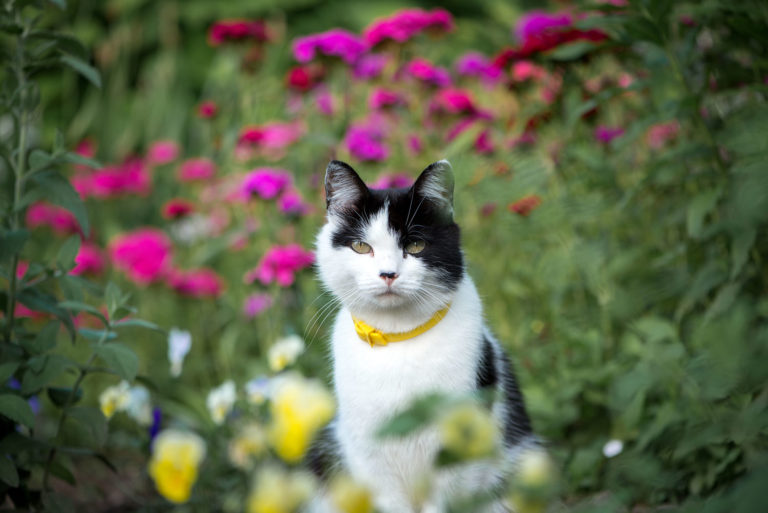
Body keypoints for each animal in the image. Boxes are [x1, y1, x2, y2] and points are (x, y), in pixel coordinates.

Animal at [308, 160, 536, 512]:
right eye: (361, 246)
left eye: (415, 245)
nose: (388, 274)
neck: (398, 337)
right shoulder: (368, 455)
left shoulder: (457, 444)